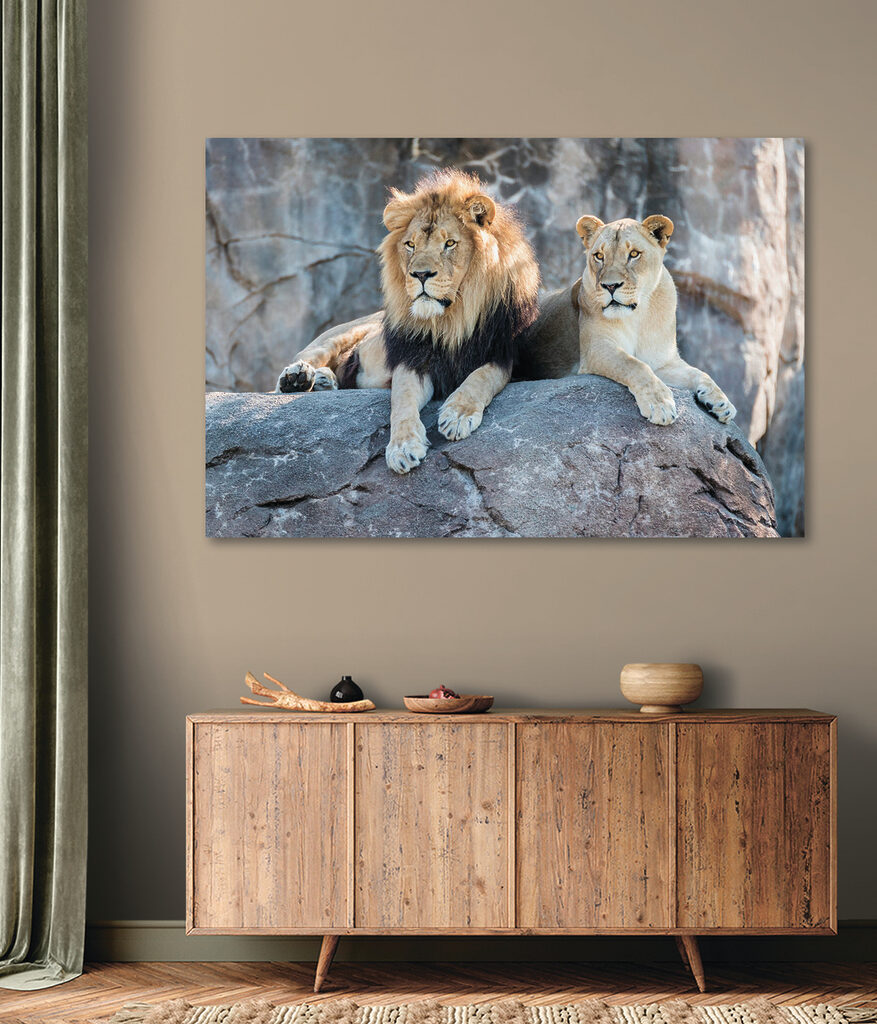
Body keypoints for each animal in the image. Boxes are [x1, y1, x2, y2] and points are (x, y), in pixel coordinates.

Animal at [275, 170, 540, 474]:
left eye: (449, 243)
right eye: (410, 245)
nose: (420, 274)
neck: (451, 320)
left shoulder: (503, 354)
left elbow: (481, 377)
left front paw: (458, 415)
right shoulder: (412, 358)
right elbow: (401, 399)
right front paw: (402, 447)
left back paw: (323, 381)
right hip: (338, 335)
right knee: (303, 361)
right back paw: (298, 378)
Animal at [517, 214, 736, 426]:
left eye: (634, 254)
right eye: (599, 256)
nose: (610, 286)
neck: (638, 315)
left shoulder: (662, 361)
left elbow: (699, 373)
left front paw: (722, 403)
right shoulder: (596, 348)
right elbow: (634, 365)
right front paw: (660, 405)